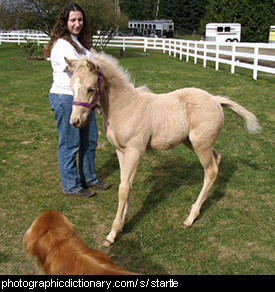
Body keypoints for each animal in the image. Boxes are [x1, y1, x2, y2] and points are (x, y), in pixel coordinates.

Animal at [66, 53, 262, 246]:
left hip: (201, 145)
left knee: (211, 170)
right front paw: (123, 222)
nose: (75, 121)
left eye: (91, 89)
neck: (125, 106)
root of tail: (215, 99)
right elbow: (125, 183)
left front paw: (112, 233)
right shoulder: (121, 151)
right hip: (194, 143)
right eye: (71, 85)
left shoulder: (135, 151)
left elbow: (124, 189)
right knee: (217, 159)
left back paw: (191, 218)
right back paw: (195, 206)